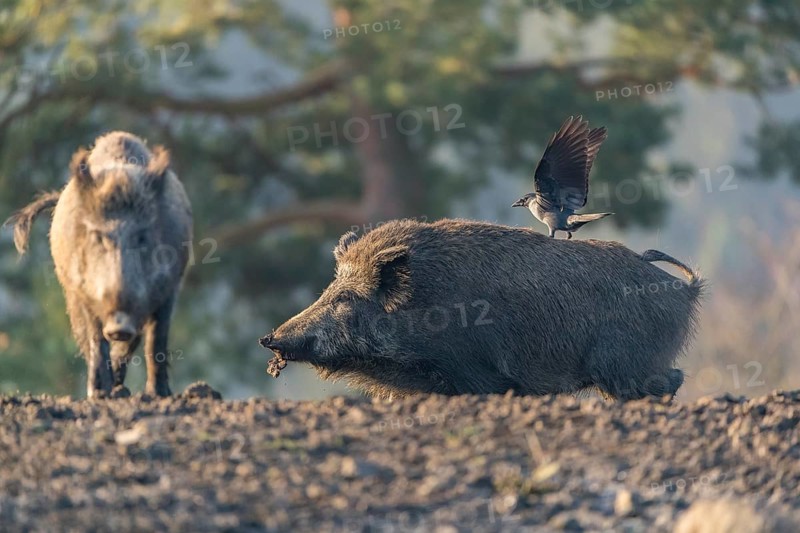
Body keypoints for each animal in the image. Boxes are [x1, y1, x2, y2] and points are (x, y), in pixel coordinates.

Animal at [4, 132, 193, 398]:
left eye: (142, 237)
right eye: (98, 236)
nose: (120, 325)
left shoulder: (170, 287)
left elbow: (156, 339)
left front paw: (160, 395)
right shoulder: (82, 290)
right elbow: (96, 338)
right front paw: (98, 395)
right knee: (88, 339)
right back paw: (108, 390)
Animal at [259, 218, 704, 400]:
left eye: (346, 298)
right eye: (329, 289)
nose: (269, 338)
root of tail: (686, 291)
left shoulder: (475, 370)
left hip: (623, 363)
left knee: (670, 379)